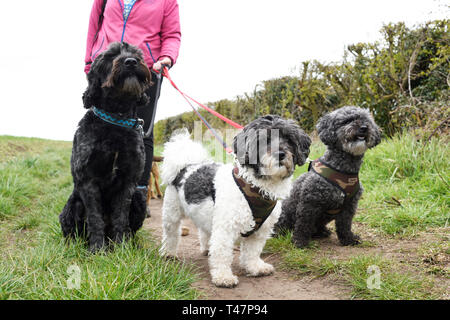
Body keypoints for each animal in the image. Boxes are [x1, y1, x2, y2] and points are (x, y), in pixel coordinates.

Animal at [58, 42, 151, 252]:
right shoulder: (88, 180)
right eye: (110, 56)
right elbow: (95, 217)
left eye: (137, 54)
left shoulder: (128, 182)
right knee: (72, 231)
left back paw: (130, 243)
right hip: (71, 205)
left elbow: (121, 216)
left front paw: (121, 247)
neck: (116, 120)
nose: (131, 62)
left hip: (140, 198)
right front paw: (97, 249)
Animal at [160, 115, 312, 288]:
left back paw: (206, 248)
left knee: (204, 231)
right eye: (262, 140)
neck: (257, 187)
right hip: (171, 214)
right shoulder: (225, 229)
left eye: (288, 139)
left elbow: (253, 252)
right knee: (171, 234)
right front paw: (223, 276)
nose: (280, 153)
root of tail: (186, 166)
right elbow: (222, 253)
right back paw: (168, 253)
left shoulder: (259, 231)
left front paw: (255, 267)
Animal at [272, 106, 382, 249]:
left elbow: (345, 225)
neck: (343, 170)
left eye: (366, 120)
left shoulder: (349, 206)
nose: (364, 127)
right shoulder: (309, 203)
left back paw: (322, 232)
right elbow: (303, 224)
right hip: (285, 215)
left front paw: (349, 239)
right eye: (347, 121)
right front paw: (300, 242)